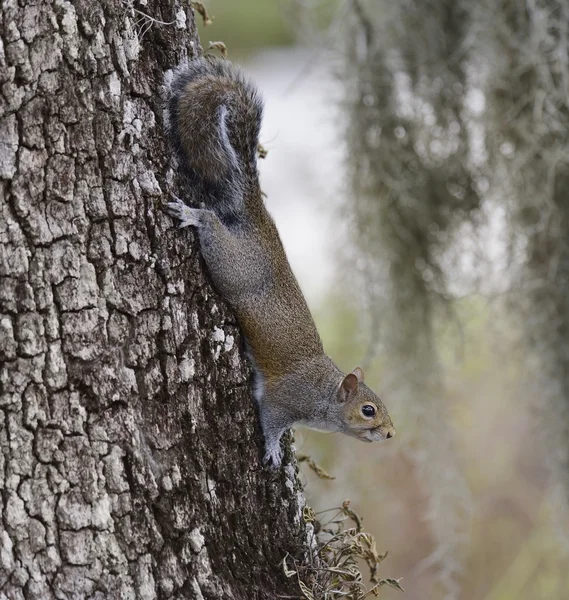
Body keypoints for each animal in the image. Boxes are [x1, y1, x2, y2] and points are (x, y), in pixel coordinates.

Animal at [165, 57, 394, 468]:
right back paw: (194, 215)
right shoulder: (283, 401)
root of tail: (259, 219)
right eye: (368, 410)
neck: (324, 393)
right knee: (211, 227)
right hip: (233, 265)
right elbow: (270, 420)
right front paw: (273, 450)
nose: (390, 433)